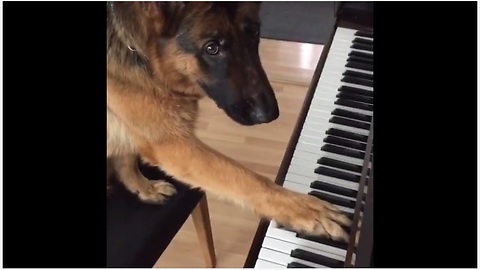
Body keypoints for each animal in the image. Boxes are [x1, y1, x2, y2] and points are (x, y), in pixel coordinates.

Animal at [107, 1, 350, 243]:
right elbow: (247, 178)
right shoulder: (174, 146)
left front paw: (142, 187)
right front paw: (304, 209)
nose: (269, 114)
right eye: (212, 48)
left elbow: (126, 160)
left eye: (254, 32)